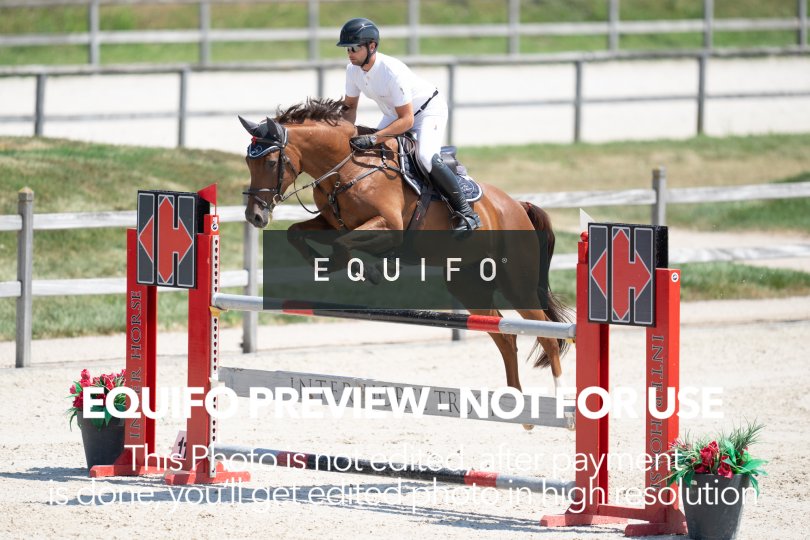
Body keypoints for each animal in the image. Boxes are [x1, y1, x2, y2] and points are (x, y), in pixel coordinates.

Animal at [239, 97, 571, 409]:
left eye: (271, 162)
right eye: (248, 162)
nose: (255, 215)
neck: (348, 167)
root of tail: (518, 206)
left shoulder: (389, 227)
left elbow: (344, 244)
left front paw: (366, 270)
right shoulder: (330, 222)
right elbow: (298, 232)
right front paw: (324, 264)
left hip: (516, 284)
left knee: (547, 334)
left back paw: (557, 398)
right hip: (468, 286)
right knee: (505, 336)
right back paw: (516, 405)